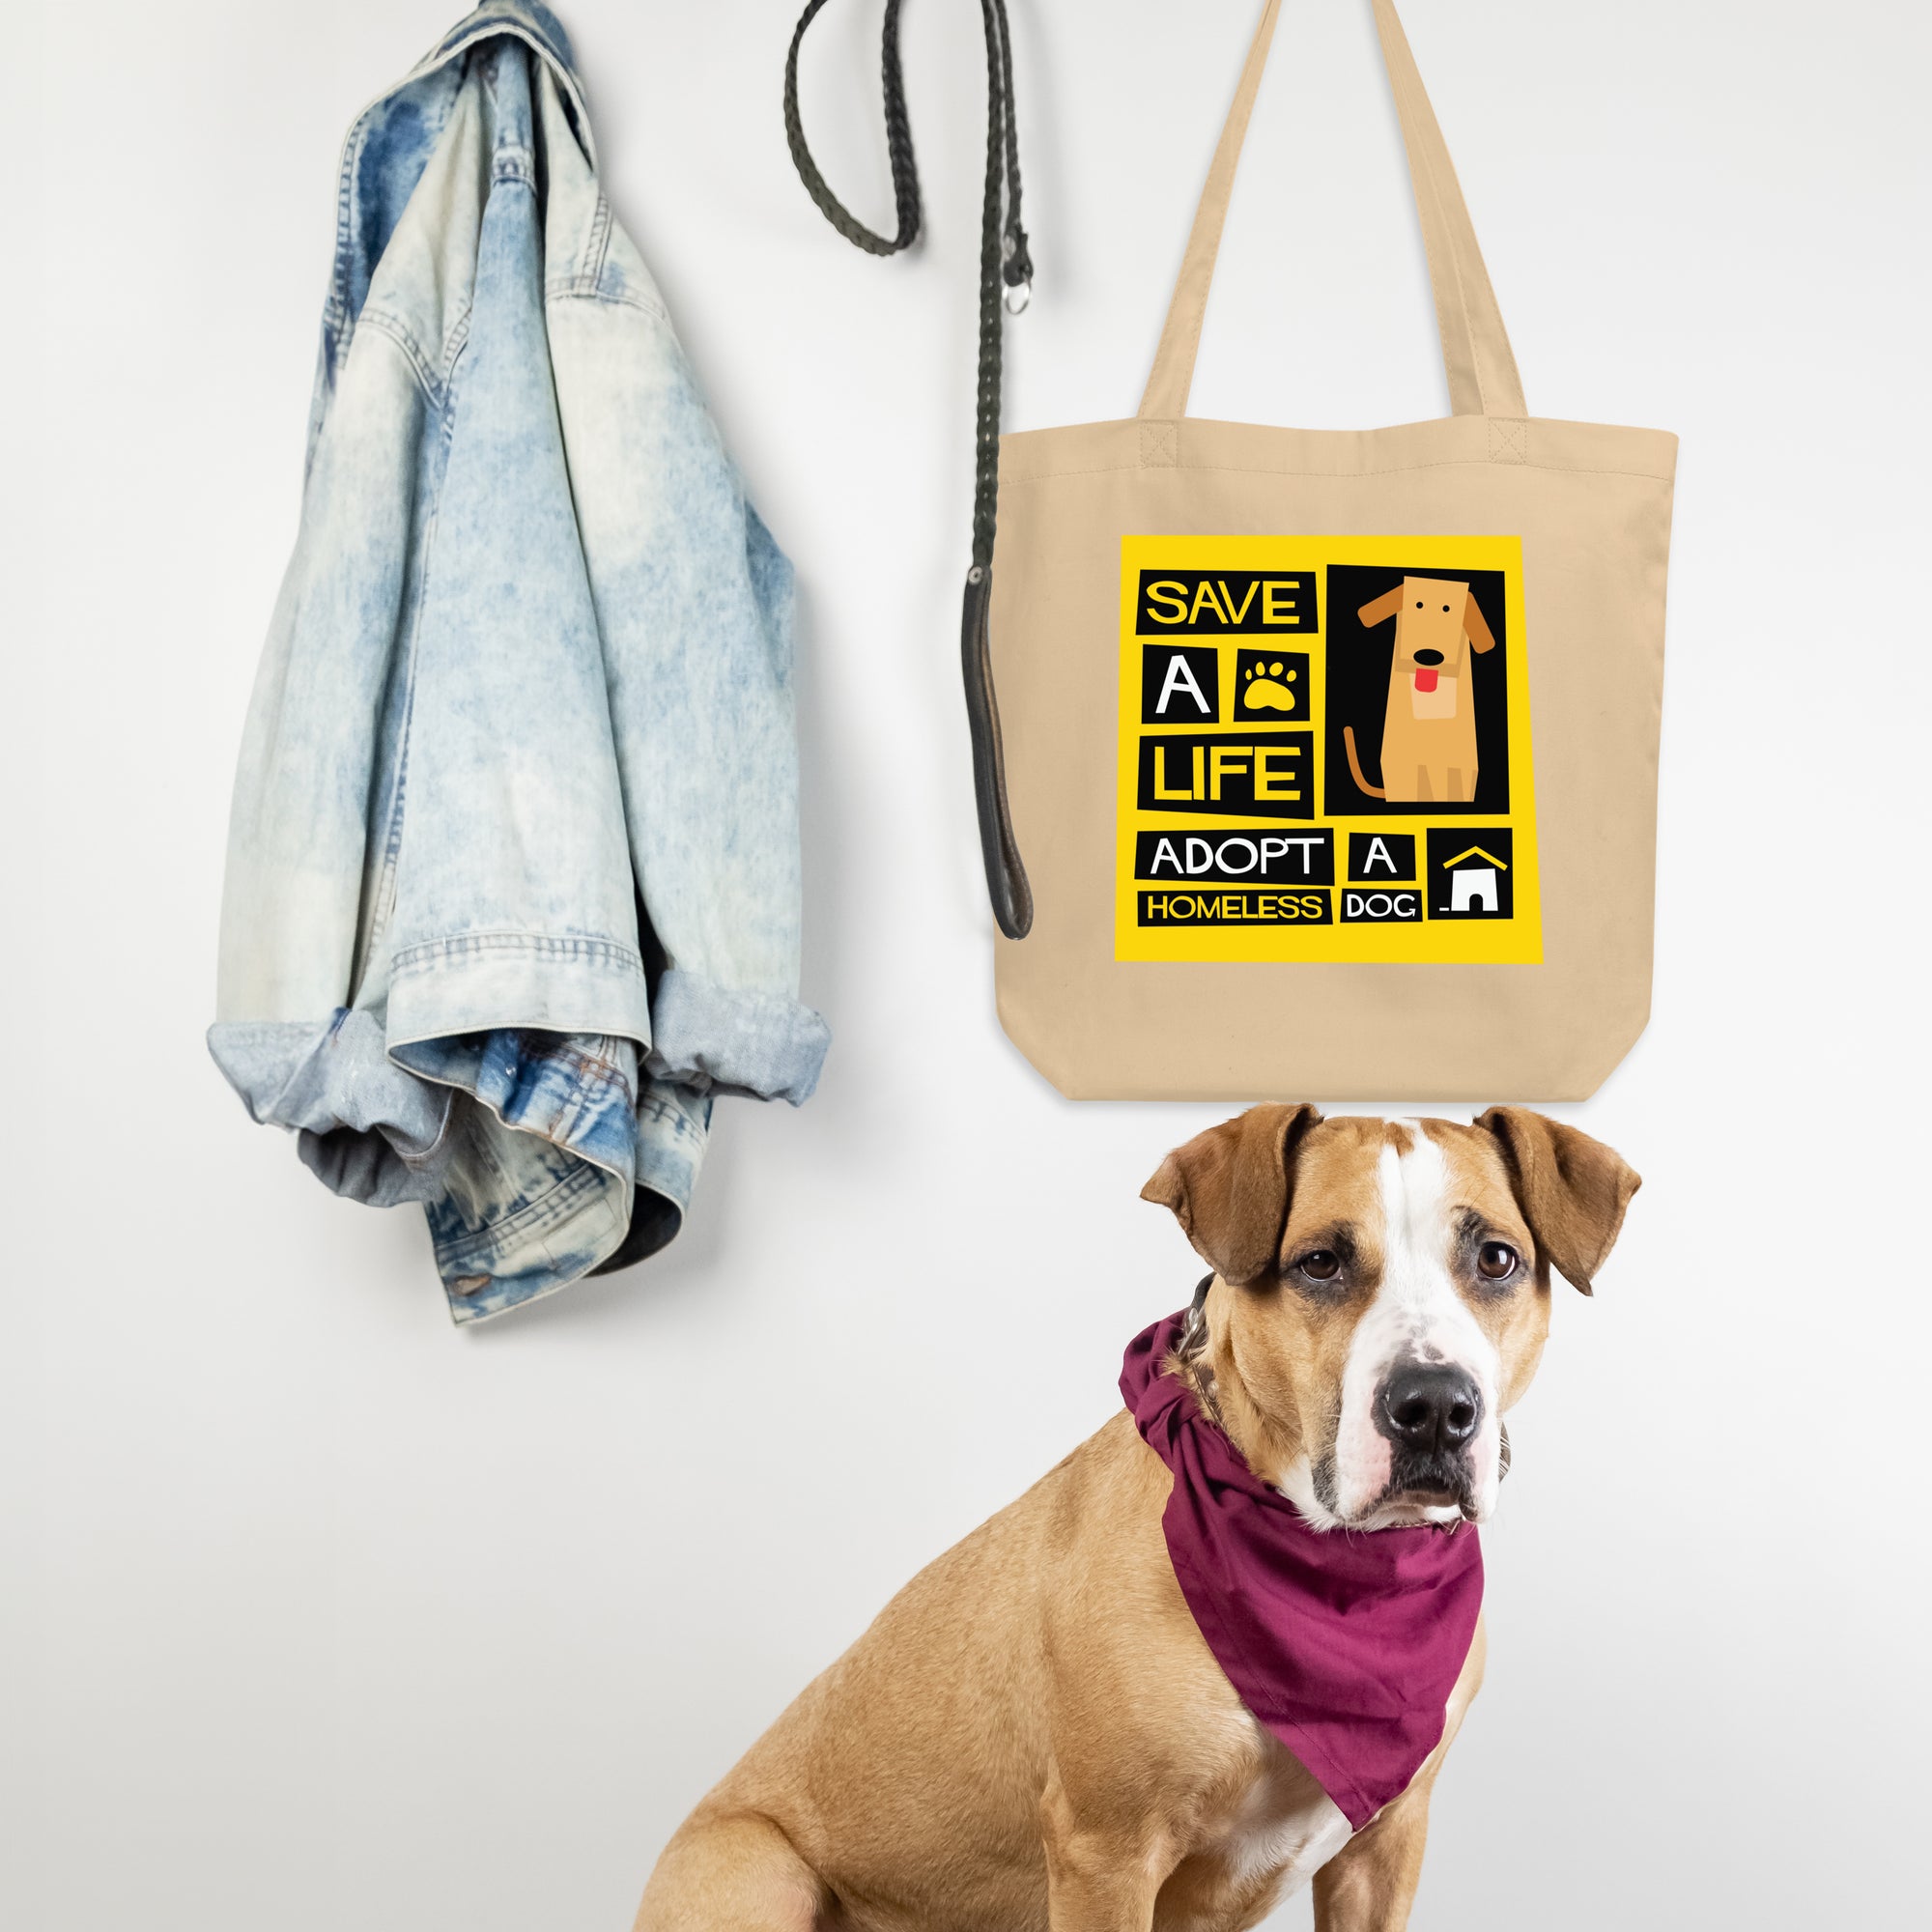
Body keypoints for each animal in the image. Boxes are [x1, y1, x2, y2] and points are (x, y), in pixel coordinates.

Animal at [641, 1113, 1638, 1924]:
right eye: (1320, 1263)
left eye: (1496, 1258)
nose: (1433, 1407)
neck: (1337, 1578)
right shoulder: (1106, 1852)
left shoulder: (1385, 1847)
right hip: (755, 1870)